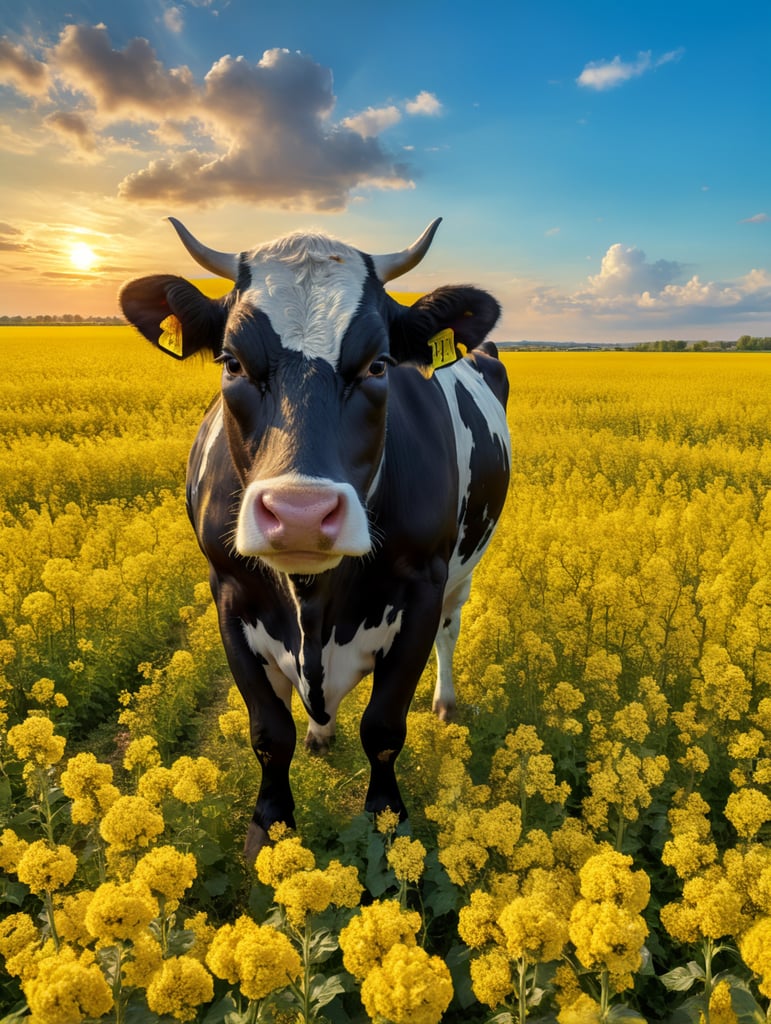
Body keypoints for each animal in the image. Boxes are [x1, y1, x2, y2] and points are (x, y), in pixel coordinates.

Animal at [120, 217, 510, 857]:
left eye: (379, 365)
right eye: (231, 362)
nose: (300, 514)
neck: (313, 600)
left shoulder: (422, 589)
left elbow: (383, 727)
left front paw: (388, 824)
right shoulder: (228, 591)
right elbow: (268, 732)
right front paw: (269, 830)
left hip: (461, 571)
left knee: (451, 633)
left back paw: (445, 704)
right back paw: (320, 731)